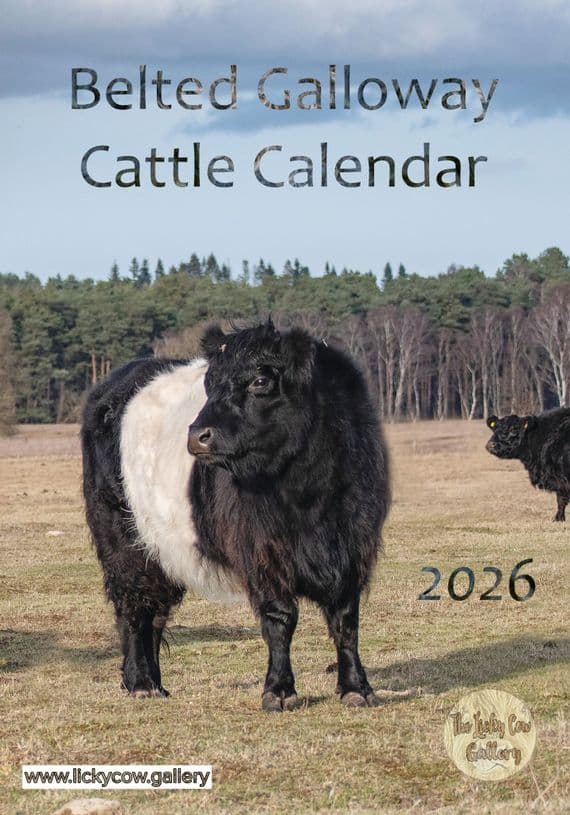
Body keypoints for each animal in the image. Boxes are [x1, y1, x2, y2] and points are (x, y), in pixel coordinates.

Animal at [81, 320, 391, 710]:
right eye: (209, 383)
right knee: (134, 607)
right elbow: (280, 619)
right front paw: (279, 692)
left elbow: (346, 622)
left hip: (162, 549)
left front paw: (357, 688)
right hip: (122, 540)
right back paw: (140, 683)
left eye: (260, 381)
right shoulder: (262, 550)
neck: (310, 497)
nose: (197, 435)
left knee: (155, 611)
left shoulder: (353, 546)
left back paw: (155, 683)